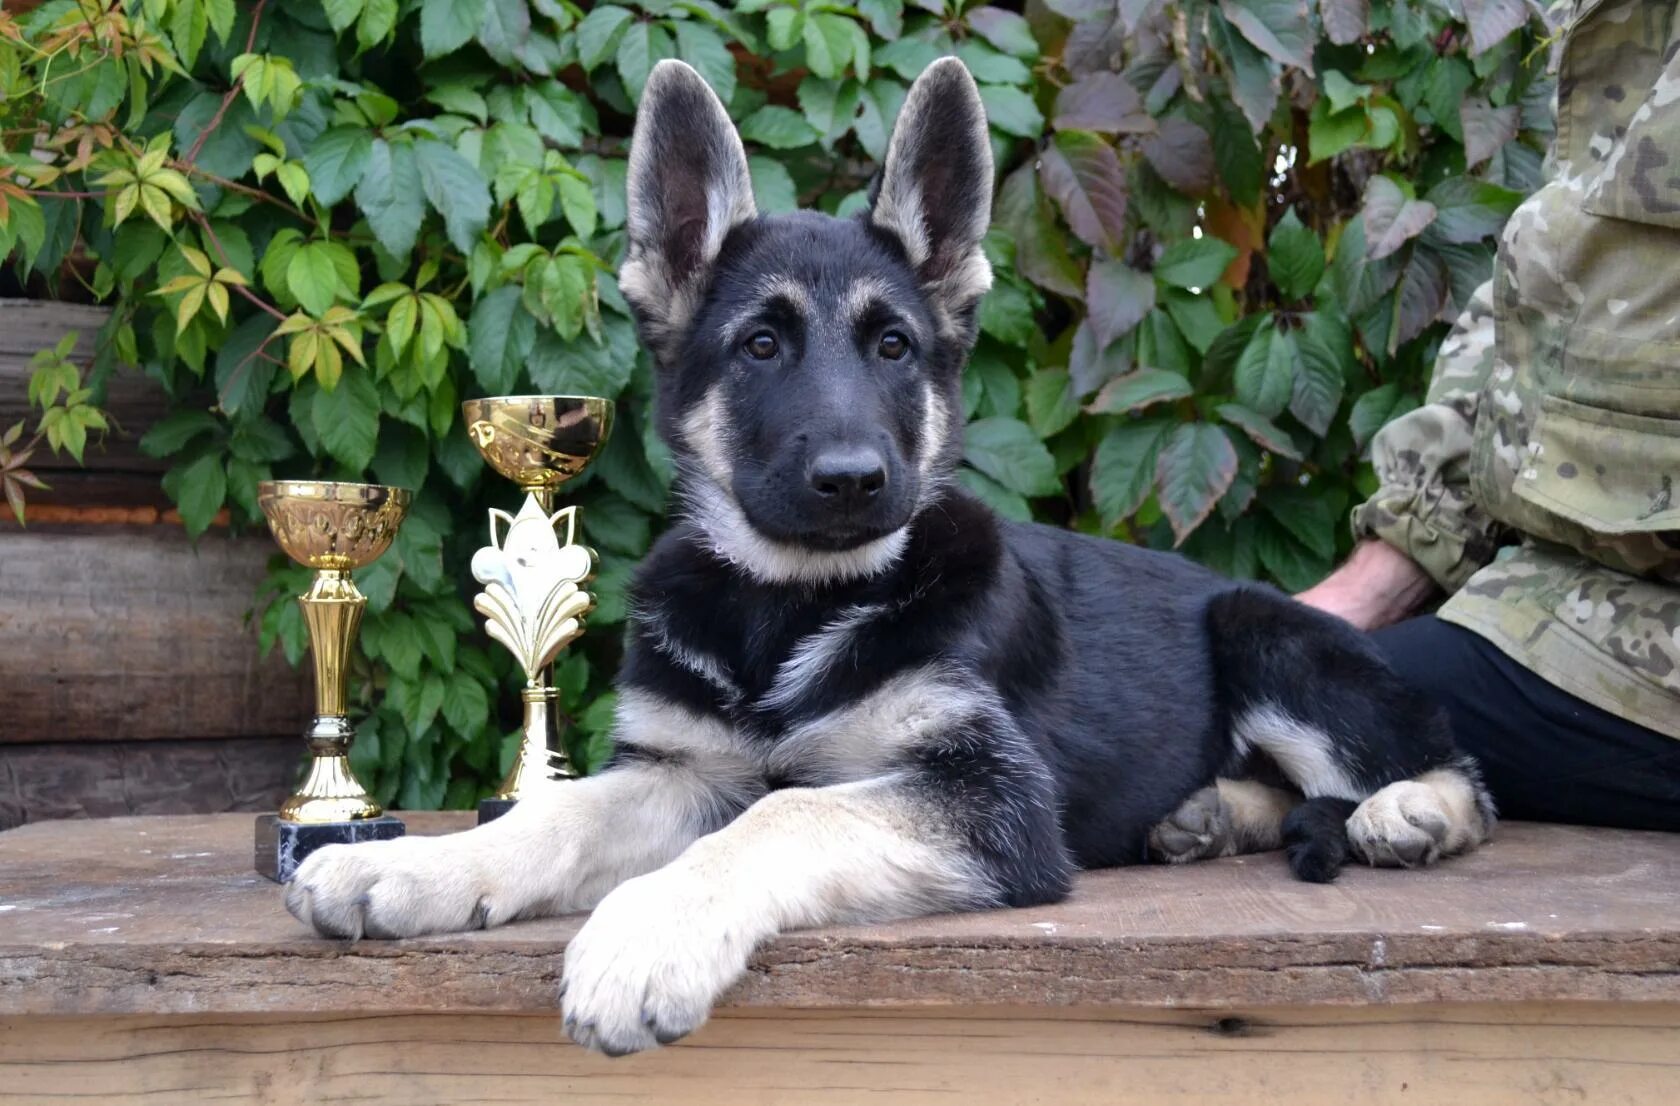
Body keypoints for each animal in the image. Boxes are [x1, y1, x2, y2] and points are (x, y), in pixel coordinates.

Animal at [288, 57, 1498, 1048]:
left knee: (1458, 771)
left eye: (894, 346)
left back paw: (1407, 814)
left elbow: (789, 809)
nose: (854, 480)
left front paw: (648, 932)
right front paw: (409, 865)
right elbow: (561, 808)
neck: (792, 605)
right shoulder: (684, 772)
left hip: (1266, 632)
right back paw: (1205, 817)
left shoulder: (989, 797)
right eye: (760, 345)